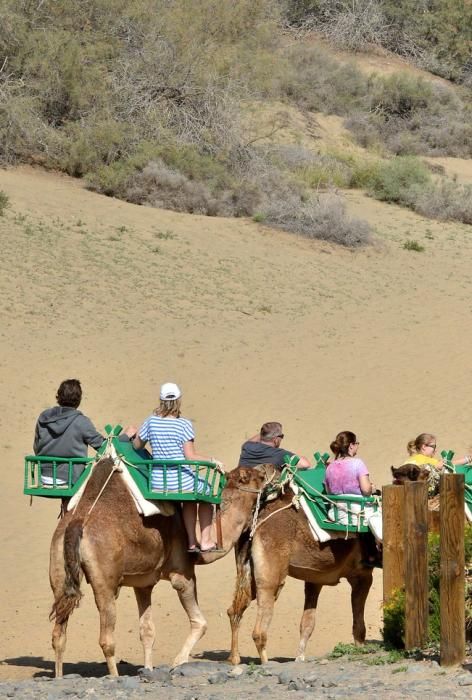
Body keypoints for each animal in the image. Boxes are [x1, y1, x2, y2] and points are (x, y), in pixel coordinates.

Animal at [48, 456, 274, 676]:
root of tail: (77, 523)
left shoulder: (143, 583)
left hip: (58, 565)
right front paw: (178, 661)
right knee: (106, 639)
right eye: (256, 475)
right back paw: (114, 677)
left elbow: (147, 631)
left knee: (58, 635)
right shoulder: (182, 573)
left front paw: (148, 669)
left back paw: (59, 676)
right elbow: (200, 622)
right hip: (105, 578)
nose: (271, 466)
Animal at [225, 484, 376, 664]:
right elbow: (359, 626)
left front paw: (300, 659)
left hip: (248, 574)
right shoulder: (362, 576)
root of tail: (254, 526)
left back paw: (234, 659)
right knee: (259, 631)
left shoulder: (315, 579)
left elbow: (307, 624)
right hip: (271, 576)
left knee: (235, 610)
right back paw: (266, 663)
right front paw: (360, 651)